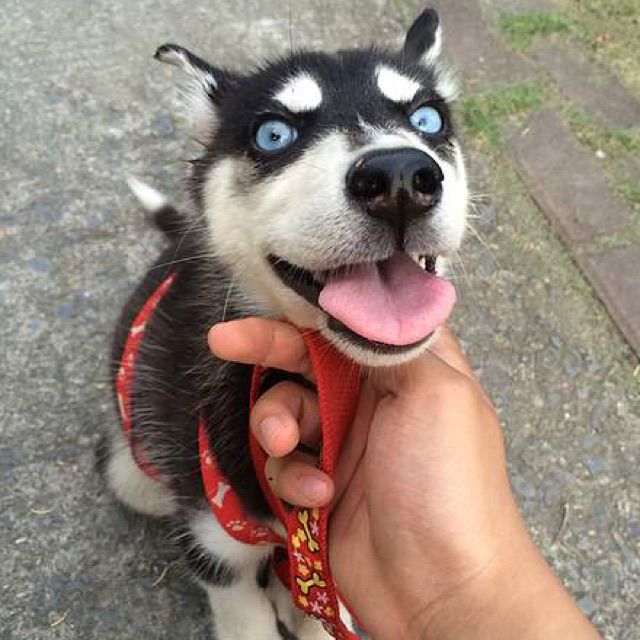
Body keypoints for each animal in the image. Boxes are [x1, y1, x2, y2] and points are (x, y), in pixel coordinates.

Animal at [102, 7, 469, 639]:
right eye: (274, 134)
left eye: (427, 118)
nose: (400, 178)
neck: (322, 376)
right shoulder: (214, 541)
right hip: (138, 470)